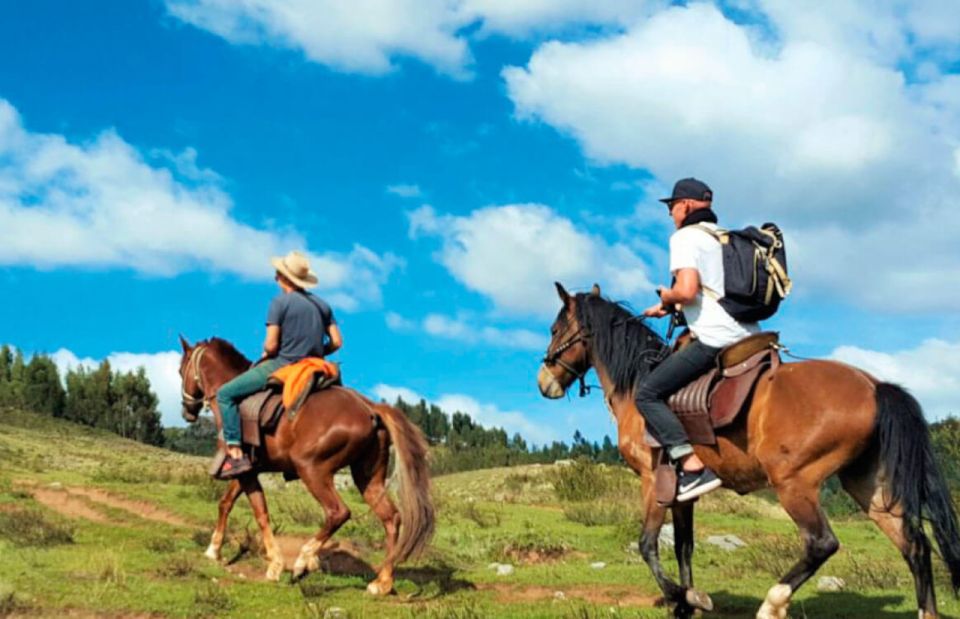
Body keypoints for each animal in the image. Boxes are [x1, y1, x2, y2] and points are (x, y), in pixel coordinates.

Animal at [176, 336, 436, 592]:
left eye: (180, 370)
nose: (187, 411)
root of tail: (370, 407)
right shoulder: (248, 470)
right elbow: (226, 503)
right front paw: (214, 549)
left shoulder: (246, 471)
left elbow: (260, 513)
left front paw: (275, 565)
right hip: (368, 478)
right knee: (391, 518)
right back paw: (382, 582)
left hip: (312, 470)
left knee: (338, 512)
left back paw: (303, 561)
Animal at [536, 284, 960, 619]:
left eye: (555, 329)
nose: (543, 381)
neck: (638, 383)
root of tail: (873, 385)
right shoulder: (683, 491)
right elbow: (684, 547)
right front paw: (688, 600)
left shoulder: (653, 481)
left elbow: (648, 545)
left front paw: (681, 597)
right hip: (867, 485)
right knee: (915, 545)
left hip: (793, 482)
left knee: (822, 543)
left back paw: (773, 604)